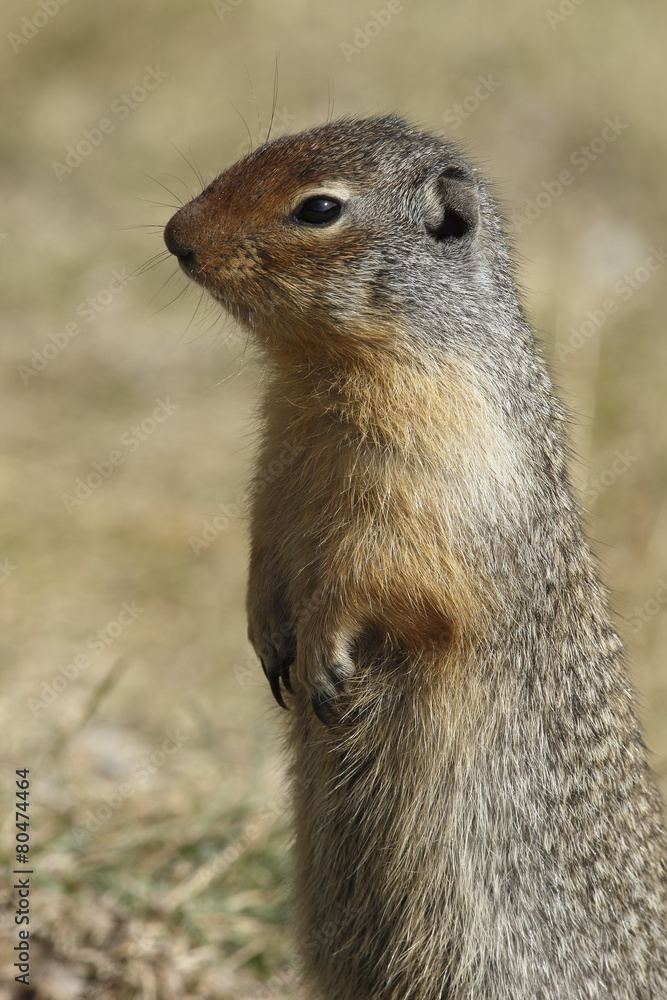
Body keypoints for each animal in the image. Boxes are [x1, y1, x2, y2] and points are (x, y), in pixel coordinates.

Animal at [164, 116, 667, 1000]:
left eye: (319, 208)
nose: (174, 237)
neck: (322, 373)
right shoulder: (276, 469)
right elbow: (266, 543)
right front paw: (266, 635)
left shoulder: (432, 473)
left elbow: (383, 572)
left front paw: (324, 656)